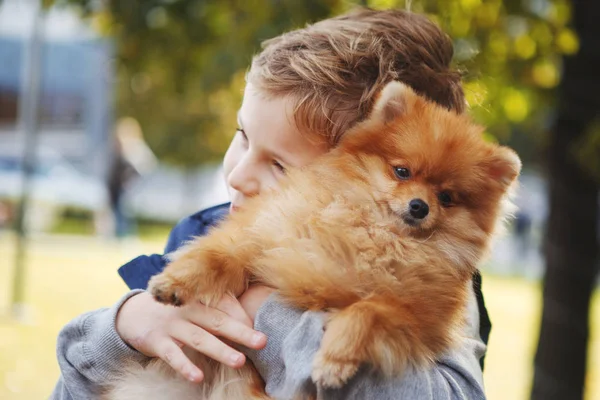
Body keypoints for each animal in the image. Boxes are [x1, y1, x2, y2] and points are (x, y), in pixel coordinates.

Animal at [106, 79, 520, 398]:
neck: (372, 232)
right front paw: (174, 283)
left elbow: (365, 313)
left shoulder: (414, 317)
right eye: (402, 172)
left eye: (447, 197)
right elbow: (221, 257)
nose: (420, 206)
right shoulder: (267, 238)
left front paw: (334, 361)